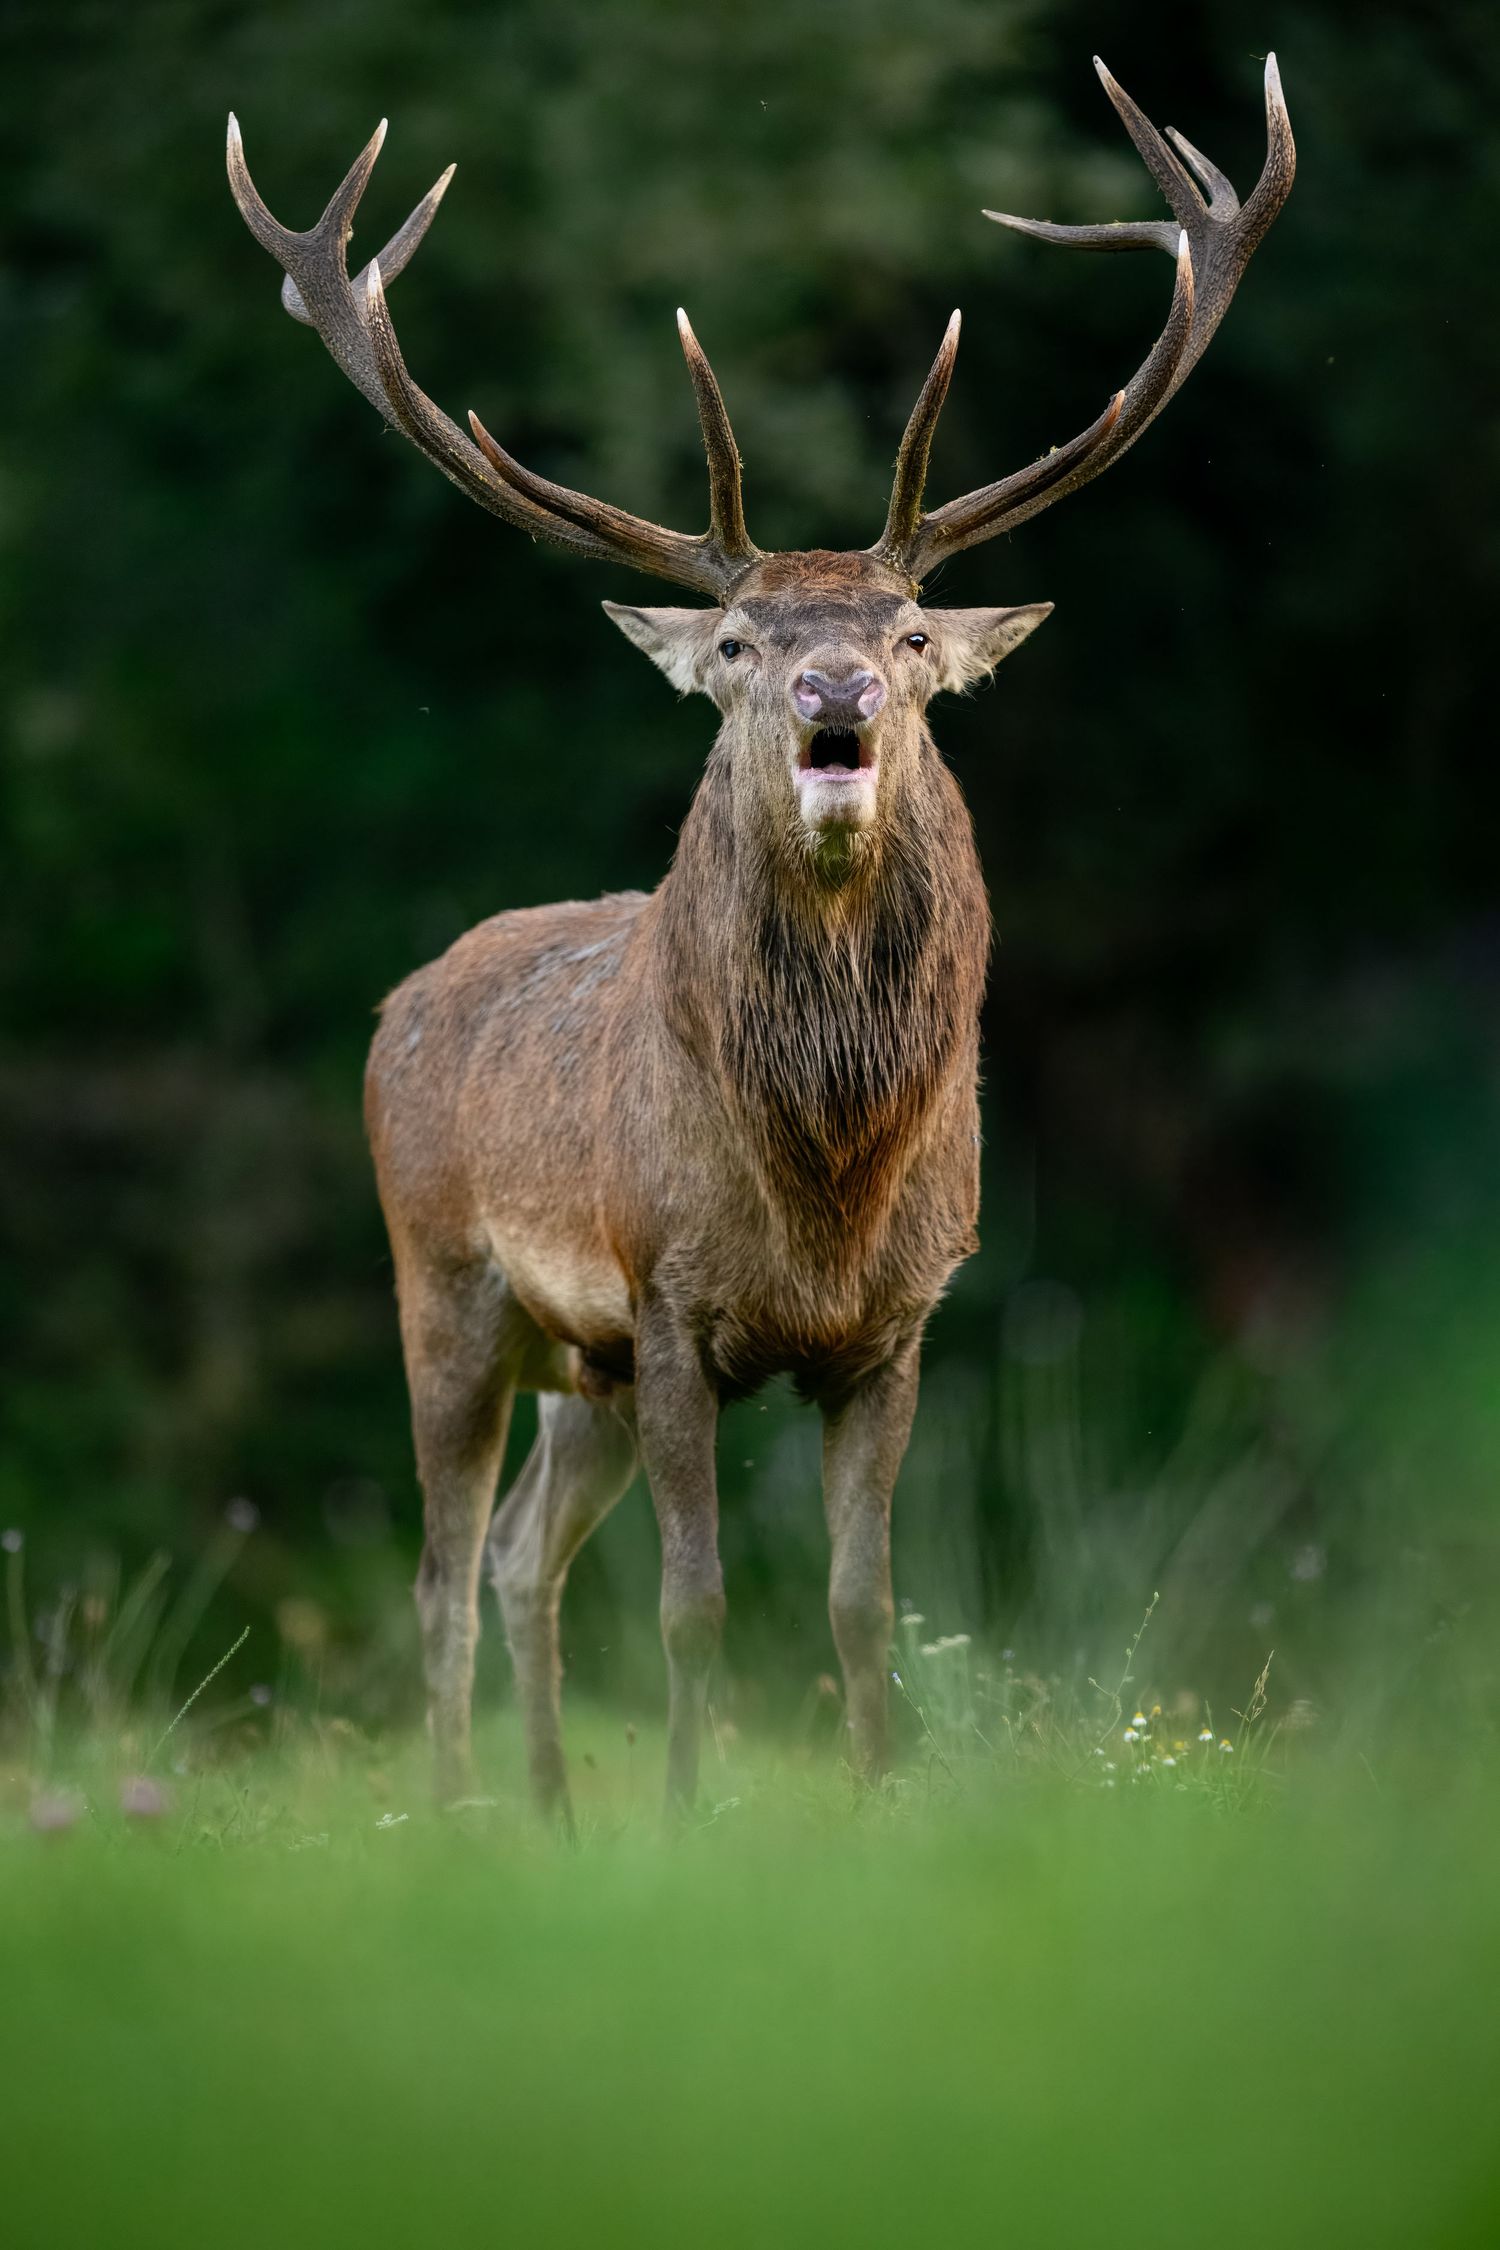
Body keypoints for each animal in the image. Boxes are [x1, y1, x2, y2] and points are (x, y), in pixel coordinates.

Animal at [228, 56, 1293, 1820]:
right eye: (736, 638)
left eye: (913, 630)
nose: (833, 685)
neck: (824, 1180)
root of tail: (403, 999)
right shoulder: (668, 1299)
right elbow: (696, 1602)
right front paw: (685, 1818)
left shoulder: (900, 1323)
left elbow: (864, 1602)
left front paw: (873, 1805)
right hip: (446, 1281)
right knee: (446, 1570)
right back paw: (456, 1812)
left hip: (575, 1369)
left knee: (520, 1555)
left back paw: (549, 1818)